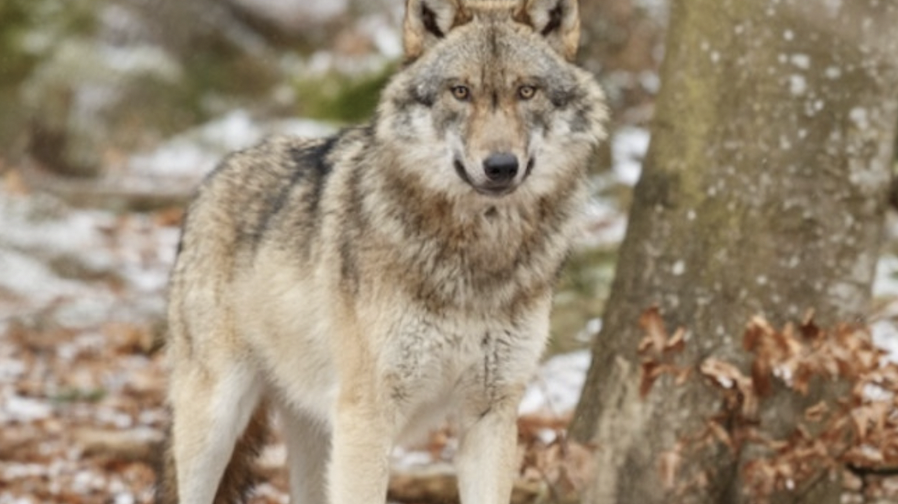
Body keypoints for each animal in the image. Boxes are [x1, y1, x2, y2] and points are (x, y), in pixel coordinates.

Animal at [160, 0, 606, 502]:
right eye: (460, 91)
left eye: (527, 91)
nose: (500, 166)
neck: (477, 258)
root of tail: (214, 175)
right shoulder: (368, 416)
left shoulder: (491, 413)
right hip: (216, 421)